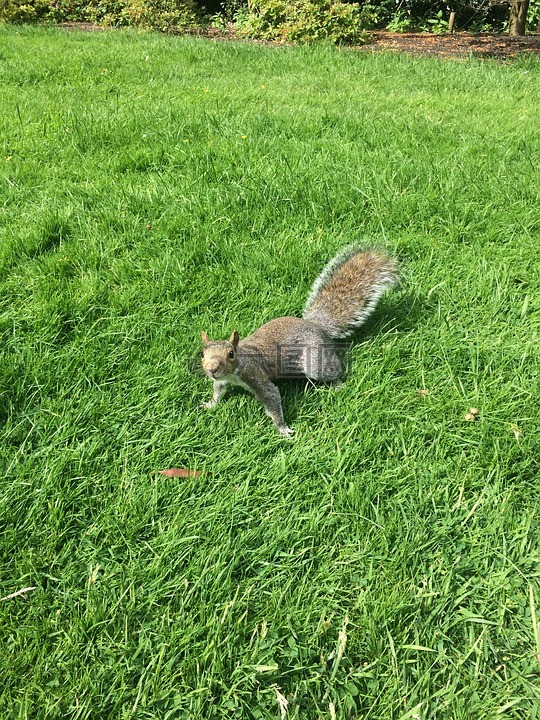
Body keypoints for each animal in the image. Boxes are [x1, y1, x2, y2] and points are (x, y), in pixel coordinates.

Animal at [200, 248, 398, 436]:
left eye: (231, 354)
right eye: (202, 354)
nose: (212, 369)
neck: (235, 371)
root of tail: (316, 325)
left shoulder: (256, 376)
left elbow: (272, 398)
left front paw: (282, 428)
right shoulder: (222, 380)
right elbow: (218, 390)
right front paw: (210, 404)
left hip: (315, 362)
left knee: (333, 370)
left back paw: (337, 384)